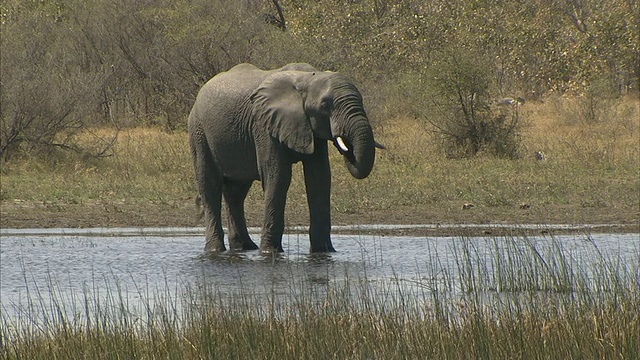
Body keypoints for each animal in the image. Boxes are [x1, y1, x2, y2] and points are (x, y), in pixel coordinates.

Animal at [189, 62, 380, 253]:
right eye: (325, 105)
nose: (346, 145)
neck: (308, 78)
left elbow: (319, 179)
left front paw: (324, 252)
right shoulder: (264, 125)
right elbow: (278, 177)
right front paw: (270, 252)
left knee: (235, 193)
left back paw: (245, 247)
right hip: (199, 132)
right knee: (210, 187)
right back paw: (216, 249)